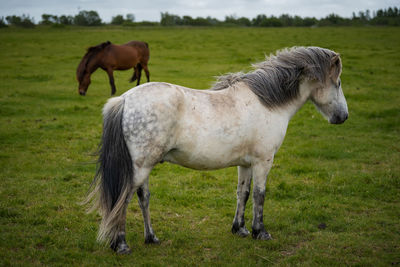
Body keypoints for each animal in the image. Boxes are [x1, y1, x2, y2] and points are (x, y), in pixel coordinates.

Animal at [86, 46, 346, 255]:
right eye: (339, 82)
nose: (343, 117)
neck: (267, 103)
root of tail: (124, 100)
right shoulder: (263, 162)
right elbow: (260, 195)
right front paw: (260, 232)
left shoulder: (245, 164)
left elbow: (243, 193)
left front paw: (240, 229)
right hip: (139, 168)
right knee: (122, 200)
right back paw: (121, 245)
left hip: (144, 167)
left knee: (143, 198)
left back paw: (151, 238)